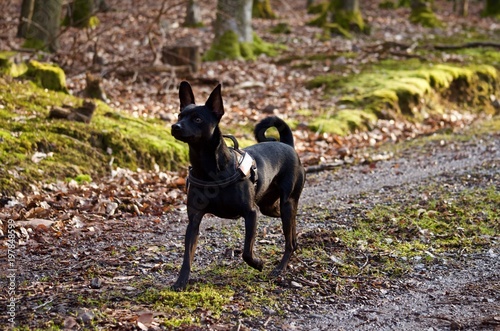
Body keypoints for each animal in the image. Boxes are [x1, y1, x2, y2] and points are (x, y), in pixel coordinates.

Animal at [171, 81, 304, 290]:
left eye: (197, 119)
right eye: (179, 115)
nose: (175, 126)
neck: (209, 169)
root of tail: (288, 145)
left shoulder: (251, 213)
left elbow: (247, 251)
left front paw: (258, 263)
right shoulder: (194, 221)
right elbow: (187, 256)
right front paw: (181, 281)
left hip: (285, 203)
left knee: (288, 239)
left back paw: (280, 267)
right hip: (270, 207)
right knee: (291, 227)